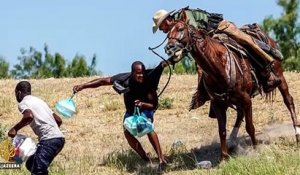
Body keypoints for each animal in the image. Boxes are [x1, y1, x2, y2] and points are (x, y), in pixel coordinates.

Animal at [165, 20, 298, 160]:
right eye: (168, 33)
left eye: (180, 29)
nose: (169, 48)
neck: (219, 66)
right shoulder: (218, 104)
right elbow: (222, 130)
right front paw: (224, 157)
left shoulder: (246, 100)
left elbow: (250, 127)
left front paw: (256, 150)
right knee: (240, 114)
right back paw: (232, 141)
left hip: (280, 76)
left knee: (288, 101)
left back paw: (297, 134)